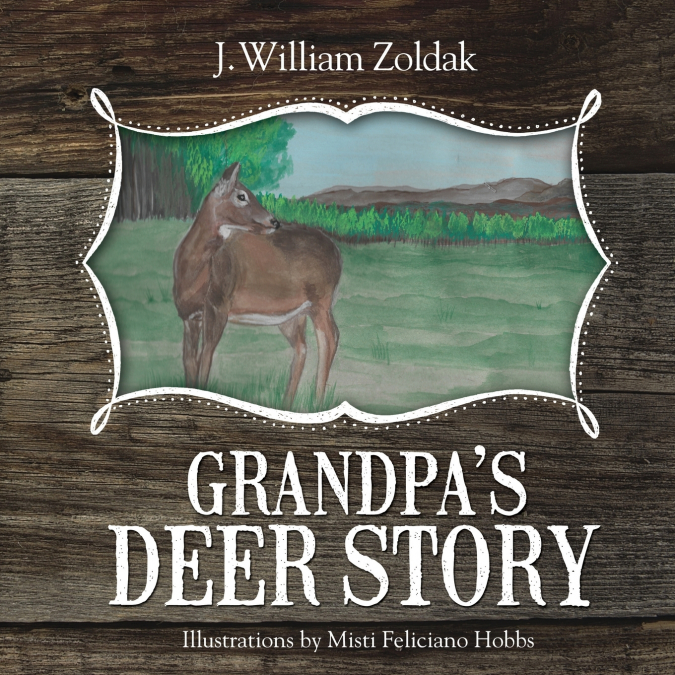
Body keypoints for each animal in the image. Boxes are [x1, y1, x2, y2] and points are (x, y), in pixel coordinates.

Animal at [173, 162, 342, 409]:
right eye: (241, 195)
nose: (274, 221)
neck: (194, 275)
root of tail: (337, 251)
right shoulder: (188, 316)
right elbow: (189, 362)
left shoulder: (218, 304)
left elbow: (206, 356)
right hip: (293, 313)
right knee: (302, 347)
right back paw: (287, 404)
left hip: (321, 299)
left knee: (329, 338)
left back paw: (316, 402)